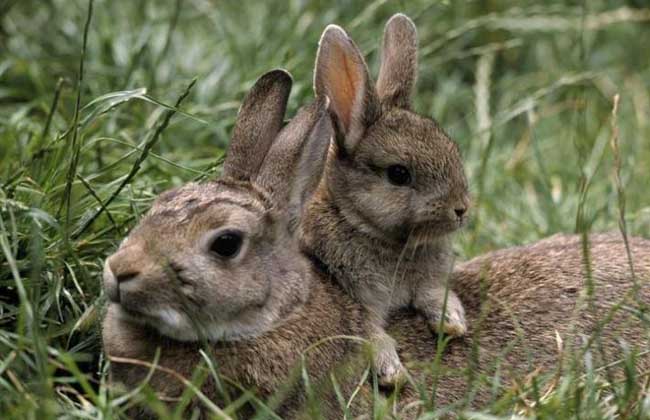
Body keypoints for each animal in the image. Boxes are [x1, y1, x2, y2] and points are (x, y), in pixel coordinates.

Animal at [300, 13, 470, 388]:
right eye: (398, 174)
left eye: (453, 151)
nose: (461, 209)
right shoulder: (354, 298)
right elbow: (370, 333)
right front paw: (392, 372)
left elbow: (433, 293)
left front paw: (453, 321)